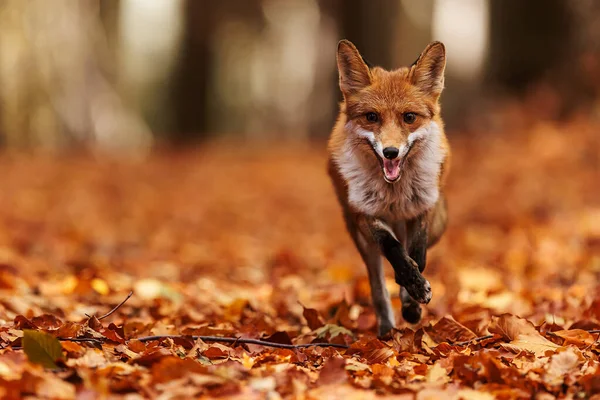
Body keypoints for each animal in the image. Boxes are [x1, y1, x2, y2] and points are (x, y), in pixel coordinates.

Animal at [328, 40, 450, 336]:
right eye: (372, 117)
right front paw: (411, 283)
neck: (395, 196)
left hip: (439, 223)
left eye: (409, 117)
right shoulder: (364, 214)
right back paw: (386, 328)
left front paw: (413, 295)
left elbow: (418, 253)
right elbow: (393, 248)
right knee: (377, 286)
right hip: (360, 238)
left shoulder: (423, 207)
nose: (391, 152)